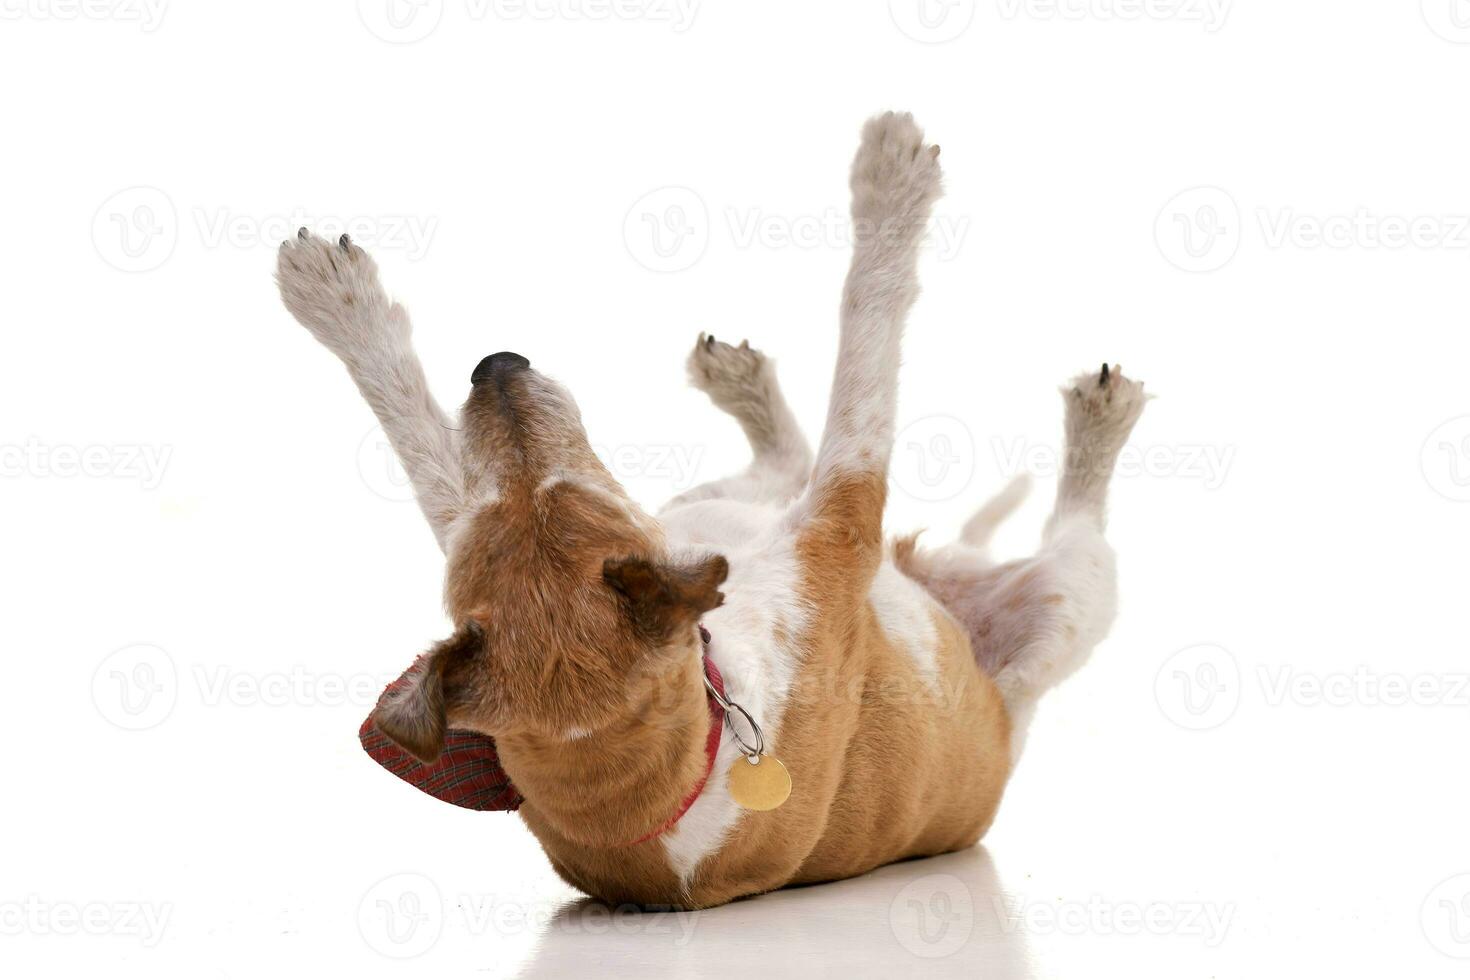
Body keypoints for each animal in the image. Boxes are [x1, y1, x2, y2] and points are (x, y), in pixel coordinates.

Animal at [276, 115, 1146, 910]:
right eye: (576, 496)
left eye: (543, 496)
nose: (497, 365)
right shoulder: (844, 516)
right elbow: (867, 332)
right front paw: (890, 181)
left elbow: (420, 436)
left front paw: (333, 302)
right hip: (1072, 591)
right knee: (1072, 522)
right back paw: (1101, 416)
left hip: (702, 508)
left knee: (780, 462)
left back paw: (742, 382)